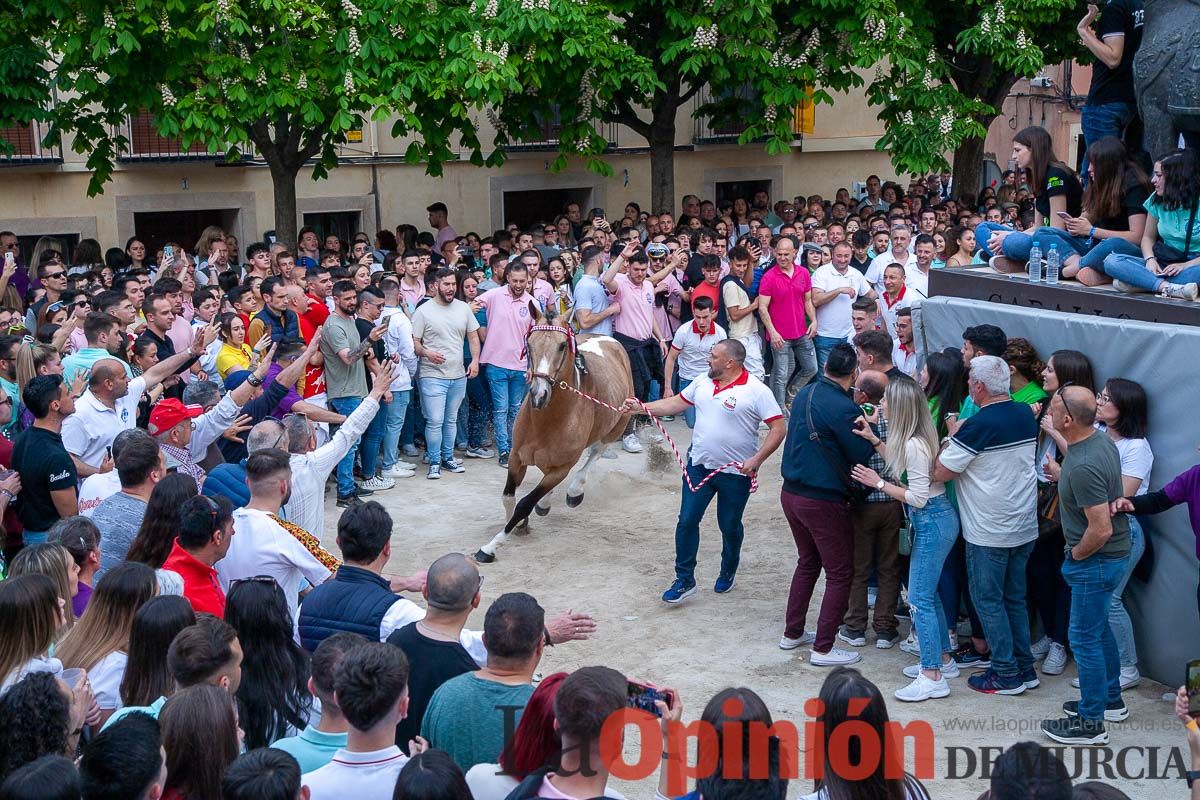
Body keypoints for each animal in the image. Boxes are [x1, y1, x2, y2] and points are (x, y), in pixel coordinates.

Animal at [472, 302, 633, 563]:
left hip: (618, 424)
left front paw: (490, 547)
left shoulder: (561, 468)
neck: (546, 422)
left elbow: (525, 503)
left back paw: (575, 491)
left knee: (596, 453)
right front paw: (517, 525)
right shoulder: (516, 457)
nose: (539, 394)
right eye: (529, 343)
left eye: (562, 345)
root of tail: (610, 339)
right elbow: (508, 497)